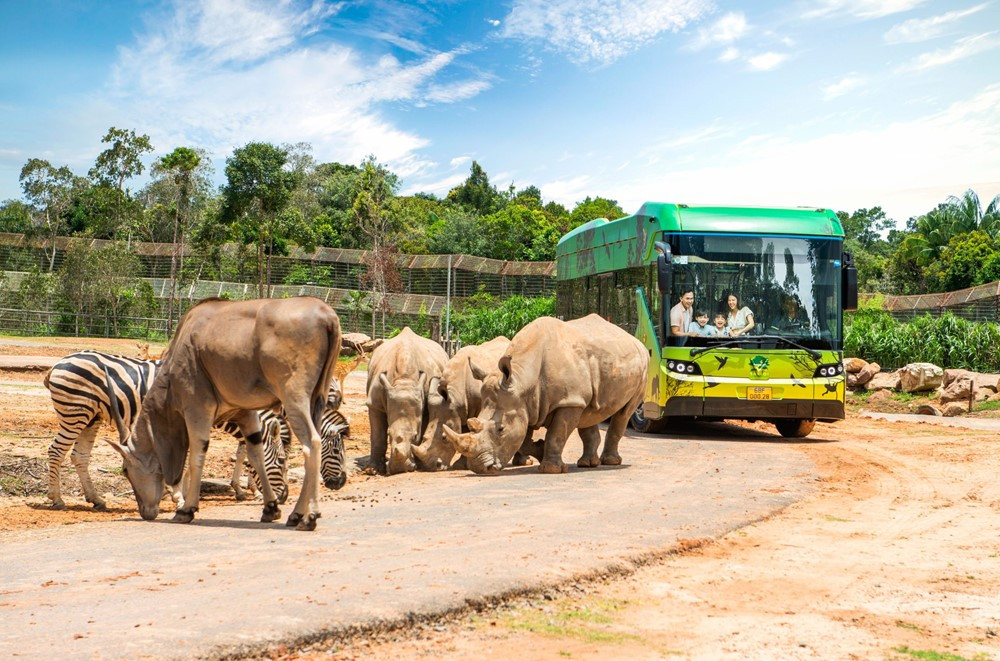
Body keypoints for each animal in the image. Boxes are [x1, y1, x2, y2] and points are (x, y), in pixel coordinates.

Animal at [45, 350, 288, 510]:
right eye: (283, 461)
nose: (284, 498)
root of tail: (60, 362)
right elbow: (188, 461)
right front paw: (179, 497)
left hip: (91, 416)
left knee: (80, 456)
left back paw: (95, 499)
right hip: (75, 412)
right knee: (56, 451)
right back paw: (57, 499)